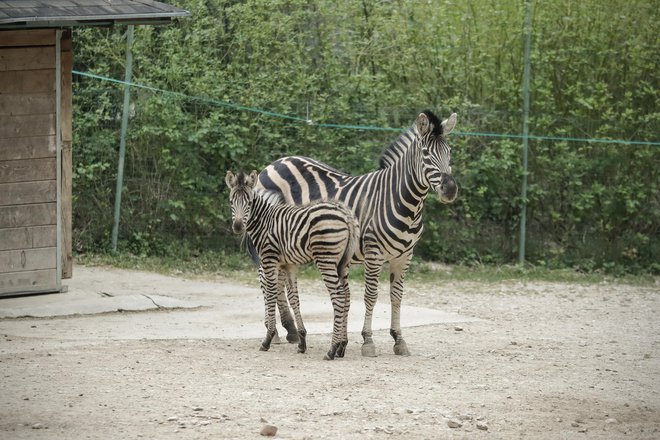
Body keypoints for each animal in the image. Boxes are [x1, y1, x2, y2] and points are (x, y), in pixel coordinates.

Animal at [227, 170, 360, 360]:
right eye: (232, 201)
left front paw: (268, 339)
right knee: (347, 296)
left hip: (325, 259)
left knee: (339, 296)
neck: (265, 221)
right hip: (343, 263)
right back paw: (342, 346)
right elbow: (294, 299)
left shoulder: (269, 260)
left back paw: (332, 349)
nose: (238, 227)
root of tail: (345, 213)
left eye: (250, 202)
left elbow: (271, 294)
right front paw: (302, 341)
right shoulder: (288, 265)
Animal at [258, 110, 458, 358]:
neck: (402, 201)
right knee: (265, 280)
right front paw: (368, 341)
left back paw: (291, 331)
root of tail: (276, 162)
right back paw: (274, 333)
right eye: (426, 154)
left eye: (449, 152)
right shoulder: (374, 253)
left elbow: (397, 296)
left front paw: (398, 339)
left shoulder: (404, 255)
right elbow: (371, 296)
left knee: (278, 281)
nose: (450, 190)